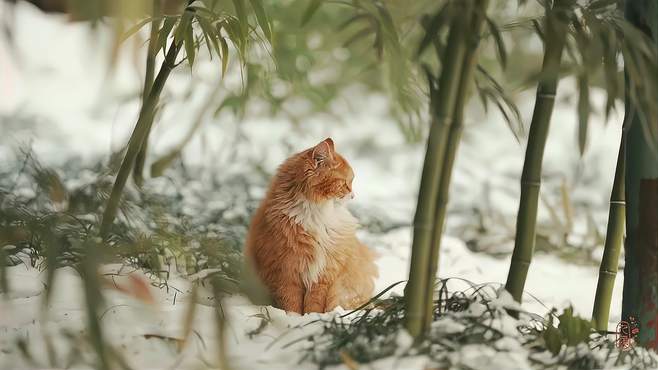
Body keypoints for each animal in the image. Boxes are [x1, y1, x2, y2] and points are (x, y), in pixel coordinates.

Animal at [243, 138, 376, 312]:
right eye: (345, 184)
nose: (353, 195)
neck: (316, 215)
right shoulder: (286, 271)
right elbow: (291, 303)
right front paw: (293, 317)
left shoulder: (323, 274)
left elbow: (314, 303)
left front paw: (313, 316)